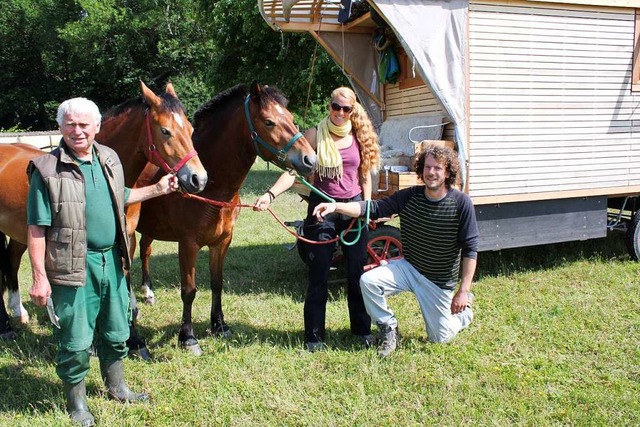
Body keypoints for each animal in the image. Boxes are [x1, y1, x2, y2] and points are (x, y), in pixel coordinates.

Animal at [0, 83, 206, 348]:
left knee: (12, 260)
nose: (198, 179)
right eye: (165, 131)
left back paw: (19, 311)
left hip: (20, 233)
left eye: (190, 129)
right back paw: (5, 326)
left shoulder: (127, 236)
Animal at [128, 82, 318, 356]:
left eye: (292, 119)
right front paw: (188, 338)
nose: (310, 160)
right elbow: (189, 290)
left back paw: (148, 291)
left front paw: (219, 325)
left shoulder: (222, 241)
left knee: (145, 251)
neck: (212, 189)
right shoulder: (188, 244)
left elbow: (217, 284)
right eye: (269, 122)